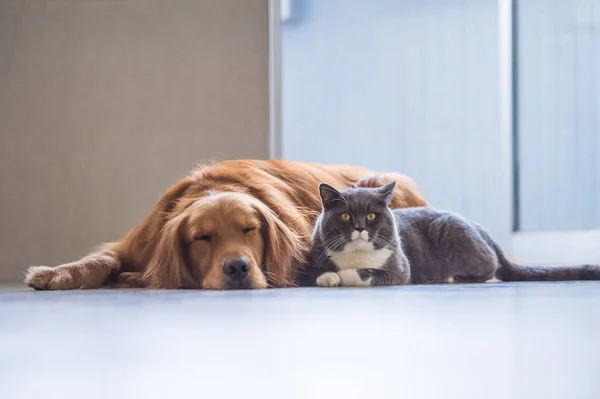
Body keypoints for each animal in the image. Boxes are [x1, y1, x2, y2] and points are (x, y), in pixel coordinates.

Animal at [24, 159, 426, 290]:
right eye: (202, 237)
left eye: (251, 229)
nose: (236, 268)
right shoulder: (141, 242)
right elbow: (101, 259)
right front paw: (55, 273)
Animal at [308, 181, 600, 288]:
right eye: (345, 216)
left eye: (371, 216)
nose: (359, 228)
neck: (356, 253)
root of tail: (480, 228)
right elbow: (318, 270)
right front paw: (327, 277)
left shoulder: (400, 269)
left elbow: (366, 273)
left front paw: (343, 276)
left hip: (454, 232)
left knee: (490, 268)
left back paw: (454, 277)